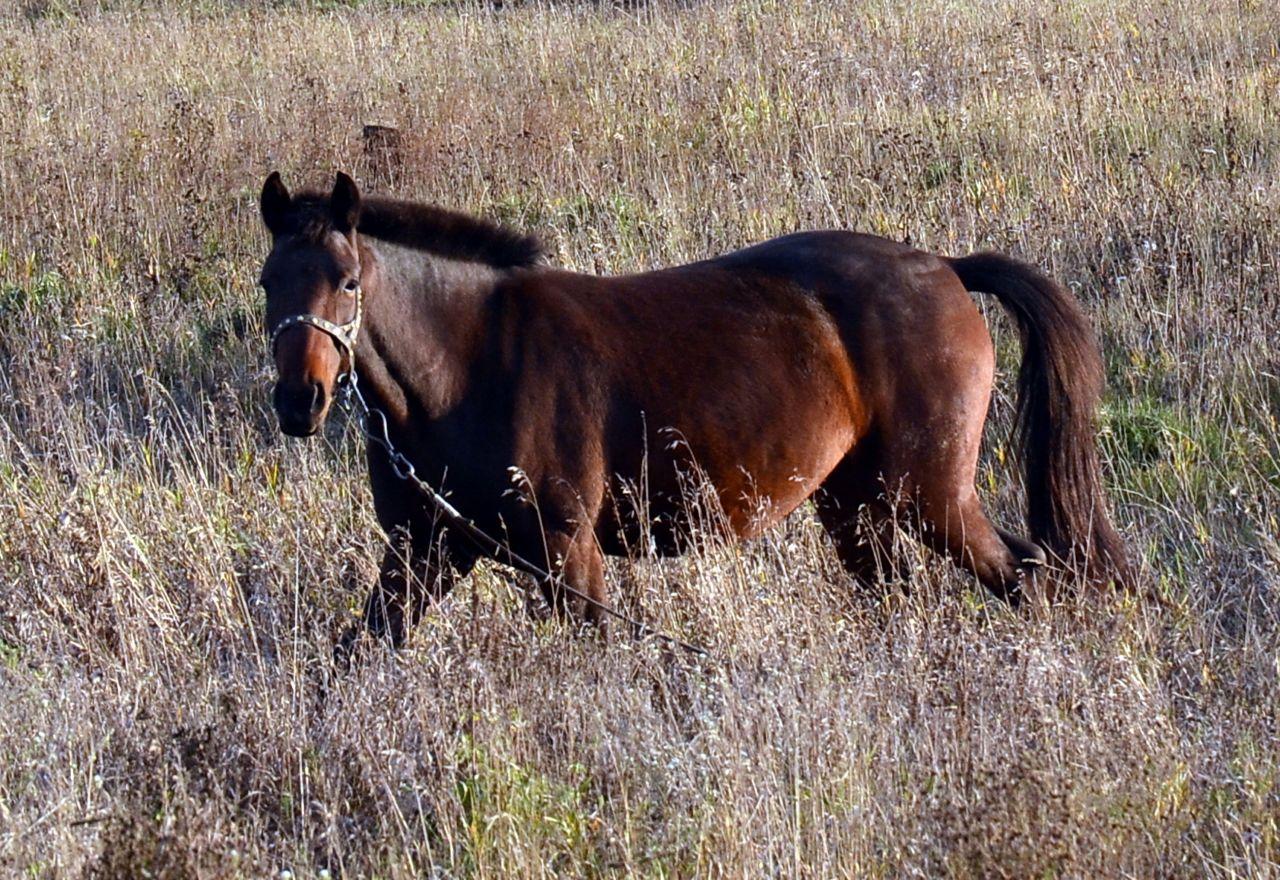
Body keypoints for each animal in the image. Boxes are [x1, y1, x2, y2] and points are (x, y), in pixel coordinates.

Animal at [259, 171, 1131, 649]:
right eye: (269, 280)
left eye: (346, 279)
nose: (299, 402)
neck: (469, 364)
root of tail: (945, 268)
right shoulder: (424, 550)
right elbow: (361, 650)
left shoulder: (566, 550)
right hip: (858, 506)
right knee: (907, 595)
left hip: (930, 495)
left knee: (1026, 574)